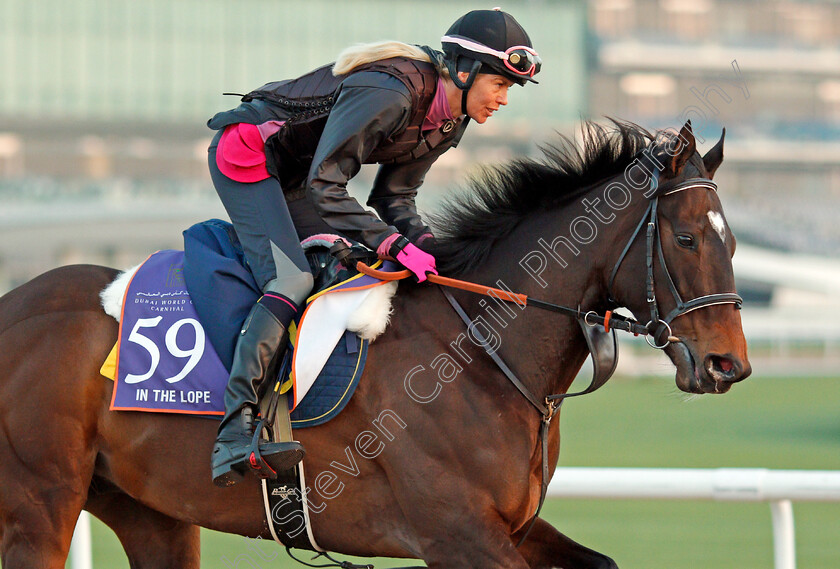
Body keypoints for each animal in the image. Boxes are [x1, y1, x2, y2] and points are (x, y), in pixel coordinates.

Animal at [0, 118, 748, 564]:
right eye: (687, 238)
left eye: (733, 240)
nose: (728, 365)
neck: (478, 351)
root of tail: (14, 306)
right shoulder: (459, 534)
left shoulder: (511, 525)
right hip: (41, 501)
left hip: (148, 508)